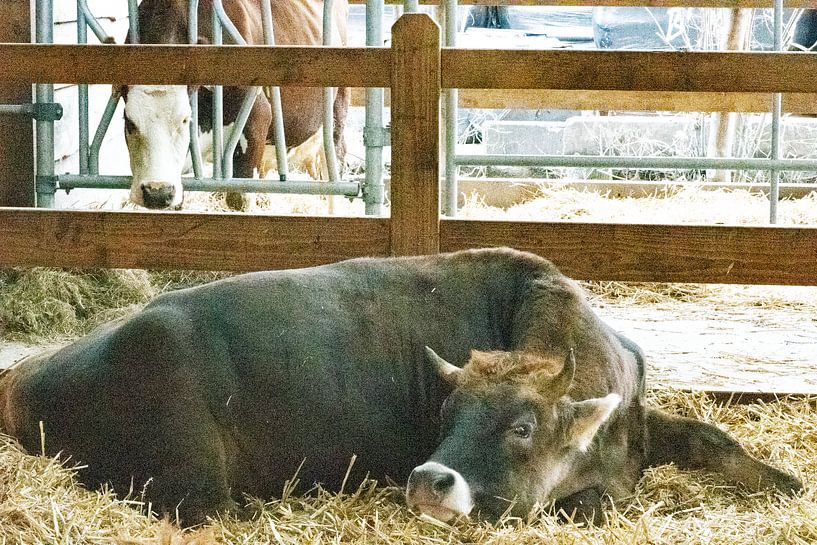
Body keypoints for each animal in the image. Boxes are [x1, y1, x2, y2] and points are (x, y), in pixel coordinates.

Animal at [0, 248, 801, 526]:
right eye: (445, 413)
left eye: (519, 425)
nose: (426, 479)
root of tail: (24, 375)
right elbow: (589, 504)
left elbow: (712, 437)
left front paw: (785, 482)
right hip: (196, 478)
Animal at [122, 0, 349, 210]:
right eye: (129, 122)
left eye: (185, 120)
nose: (157, 193)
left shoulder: (257, 119)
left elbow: (239, 198)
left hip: (336, 116)